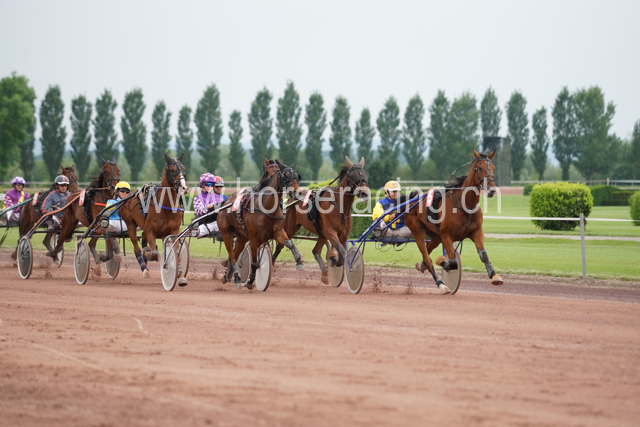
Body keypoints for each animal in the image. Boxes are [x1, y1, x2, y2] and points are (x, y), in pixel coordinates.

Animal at [119, 153, 188, 281]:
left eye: (183, 168)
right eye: (172, 170)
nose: (184, 187)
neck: (166, 206)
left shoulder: (174, 230)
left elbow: (176, 252)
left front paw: (180, 276)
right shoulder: (151, 231)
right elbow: (154, 253)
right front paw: (148, 254)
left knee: (143, 237)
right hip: (130, 225)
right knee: (137, 248)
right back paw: (145, 268)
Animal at [217, 158, 302, 289]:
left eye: (297, 176)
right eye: (285, 175)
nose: (298, 192)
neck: (266, 208)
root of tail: (226, 201)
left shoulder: (277, 232)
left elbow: (289, 243)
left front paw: (299, 261)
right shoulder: (254, 239)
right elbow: (255, 262)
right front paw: (251, 280)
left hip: (242, 237)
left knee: (235, 255)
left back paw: (228, 276)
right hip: (226, 234)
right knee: (232, 256)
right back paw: (236, 276)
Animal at [403, 149, 503, 294]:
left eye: (494, 168)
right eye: (480, 168)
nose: (491, 189)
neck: (464, 205)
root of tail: (412, 199)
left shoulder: (477, 231)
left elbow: (483, 255)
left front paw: (494, 276)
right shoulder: (446, 235)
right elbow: (452, 263)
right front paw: (441, 261)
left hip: (435, 236)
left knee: (427, 251)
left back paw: (421, 265)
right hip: (417, 231)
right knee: (427, 258)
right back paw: (441, 285)